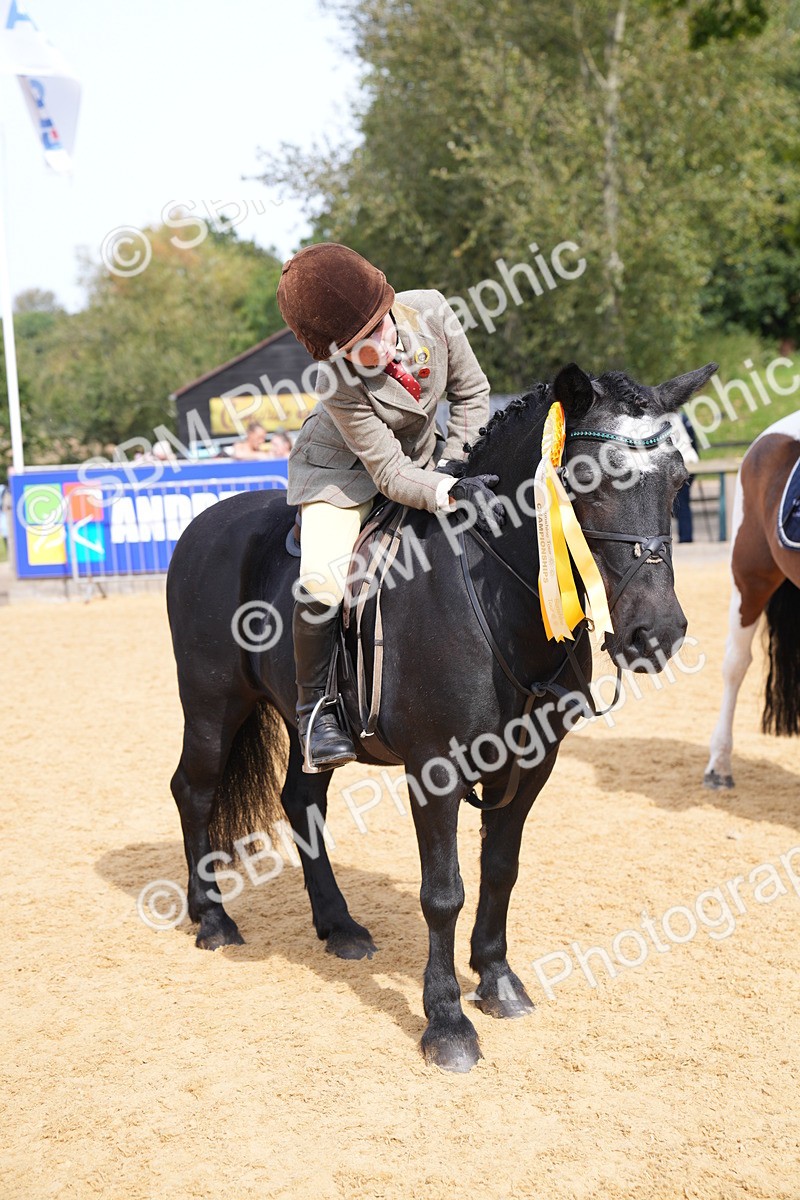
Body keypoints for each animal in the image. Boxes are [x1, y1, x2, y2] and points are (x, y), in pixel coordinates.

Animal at [166, 359, 716, 1073]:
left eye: (678, 480)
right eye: (584, 479)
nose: (658, 633)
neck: (499, 595)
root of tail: (205, 523)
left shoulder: (532, 765)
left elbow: (500, 871)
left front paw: (498, 980)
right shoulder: (435, 771)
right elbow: (443, 892)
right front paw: (448, 1022)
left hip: (304, 723)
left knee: (300, 800)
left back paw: (338, 926)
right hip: (212, 704)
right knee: (194, 791)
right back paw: (212, 919)